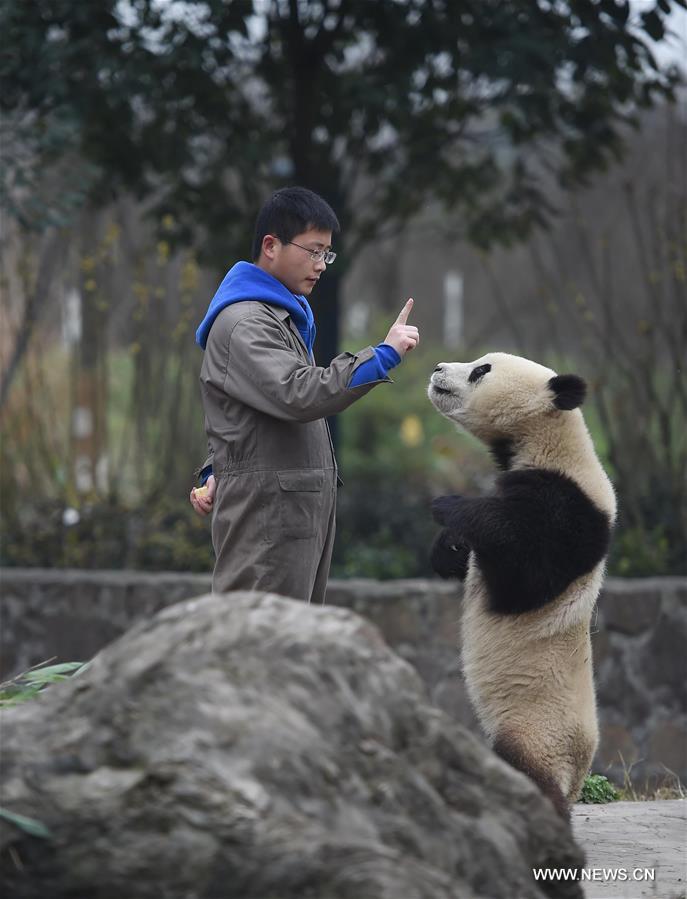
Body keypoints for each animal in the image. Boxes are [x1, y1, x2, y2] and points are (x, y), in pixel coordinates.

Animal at [430, 356, 620, 820]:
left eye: (481, 370)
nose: (438, 368)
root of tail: (576, 781)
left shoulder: (571, 508)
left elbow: (527, 575)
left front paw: (451, 507)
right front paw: (448, 545)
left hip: (537, 730)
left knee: (523, 769)